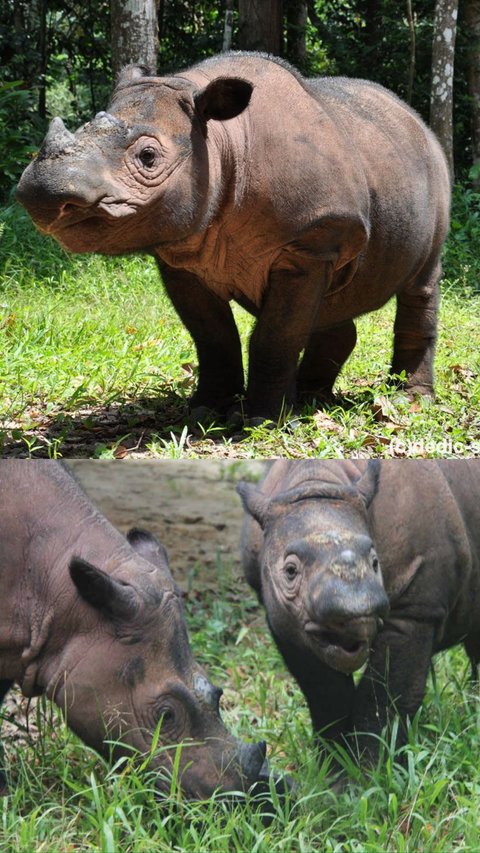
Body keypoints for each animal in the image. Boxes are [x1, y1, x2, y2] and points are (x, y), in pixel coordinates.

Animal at [15, 53, 450, 426]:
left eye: (149, 157)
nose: (44, 193)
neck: (222, 141)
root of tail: (416, 121)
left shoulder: (310, 244)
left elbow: (276, 335)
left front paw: (264, 420)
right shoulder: (182, 254)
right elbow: (212, 336)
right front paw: (207, 412)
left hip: (435, 172)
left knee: (421, 283)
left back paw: (407, 401)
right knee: (335, 303)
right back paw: (312, 398)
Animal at [238, 462, 480, 764]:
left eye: (375, 563)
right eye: (290, 571)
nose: (355, 609)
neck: (316, 482)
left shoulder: (416, 609)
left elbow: (386, 697)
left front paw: (369, 769)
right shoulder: (282, 620)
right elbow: (325, 697)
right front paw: (333, 767)